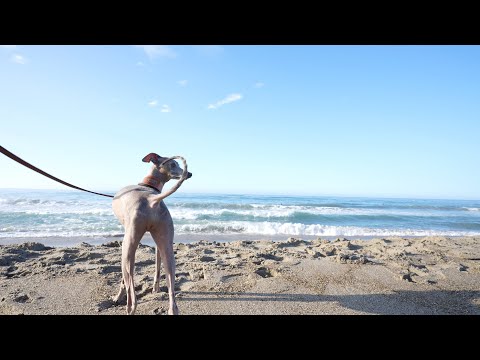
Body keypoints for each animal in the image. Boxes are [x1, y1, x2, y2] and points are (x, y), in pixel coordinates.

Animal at [111, 153, 192, 314]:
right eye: (173, 164)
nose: (190, 174)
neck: (148, 187)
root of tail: (151, 199)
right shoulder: (157, 244)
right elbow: (157, 266)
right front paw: (156, 288)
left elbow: (123, 281)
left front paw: (117, 297)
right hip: (167, 246)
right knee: (171, 289)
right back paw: (171, 308)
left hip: (127, 249)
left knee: (131, 290)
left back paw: (129, 307)